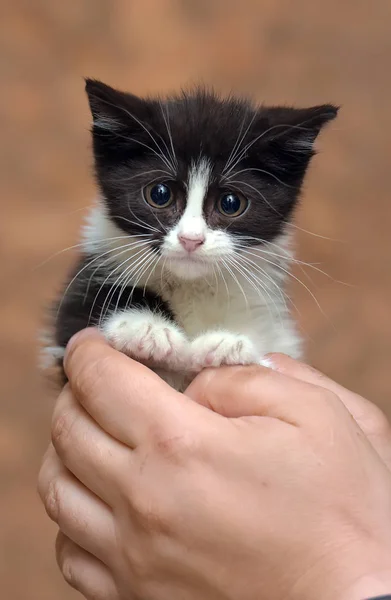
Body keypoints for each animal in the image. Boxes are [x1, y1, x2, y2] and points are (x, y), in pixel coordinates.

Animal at [48, 79, 336, 390]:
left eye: (230, 203)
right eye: (160, 194)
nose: (191, 239)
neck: (192, 285)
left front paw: (228, 346)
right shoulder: (81, 291)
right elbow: (82, 310)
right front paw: (146, 327)